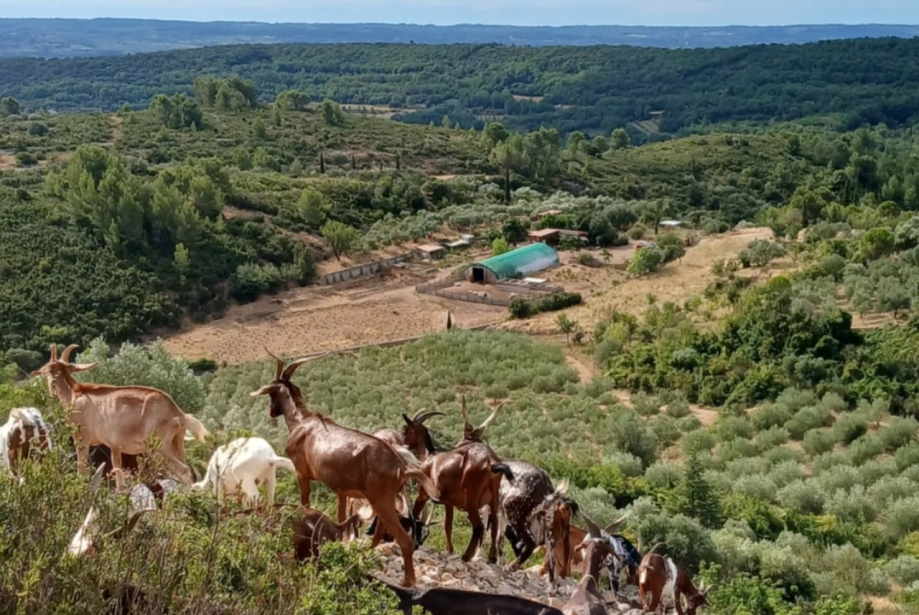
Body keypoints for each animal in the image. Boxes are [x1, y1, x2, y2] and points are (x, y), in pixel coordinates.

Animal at [250, 348, 440, 588]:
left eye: (271, 393)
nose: (271, 412)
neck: (303, 422)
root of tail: (401, 466)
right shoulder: (341, 491)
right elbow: (342, 519)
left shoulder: (302, 473)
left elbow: (305, 503)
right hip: (386, 501)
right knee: (380, 531)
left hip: (381, 500)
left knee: (404, 539)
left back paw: (408, 581)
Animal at [414, 398, 512, 564]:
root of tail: (491, 463)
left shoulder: (436, 498)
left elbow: (446, 524)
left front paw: (449, 550)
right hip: (493, 501)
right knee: (494, 527)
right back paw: (491, 557)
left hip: (472, 500)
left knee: (479, 527)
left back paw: (466, 556)